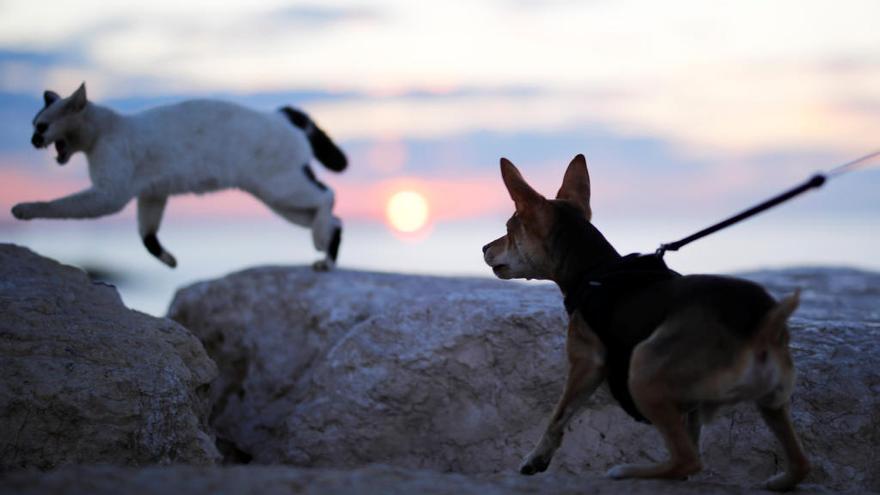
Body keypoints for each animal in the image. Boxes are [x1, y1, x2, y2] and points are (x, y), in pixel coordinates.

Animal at [14, 85, 348, 272]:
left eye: (41, 126)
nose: (32, 140)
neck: (105, 130)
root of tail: (280, 113)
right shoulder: (151, 194)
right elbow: (147, 235)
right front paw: (169, 260)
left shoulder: (108, 195)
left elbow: (57, 205)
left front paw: (22, 209)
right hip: (282, 201)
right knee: (335, 219)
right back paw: (326, 259)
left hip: (282, 188)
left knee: (328, 195)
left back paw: (320, 244)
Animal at [482, 156, 812, 492]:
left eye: (509, 229)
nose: (484, 248)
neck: (595, 270)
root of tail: (760, 327)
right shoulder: (690, 408)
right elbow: (692, 435)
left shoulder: (586, 363)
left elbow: (559, 415)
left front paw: (536, 459)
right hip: (772, 401)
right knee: (799, 464)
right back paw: (779, 480)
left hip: (642, 370)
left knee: (687, 459)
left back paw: (627, 472)